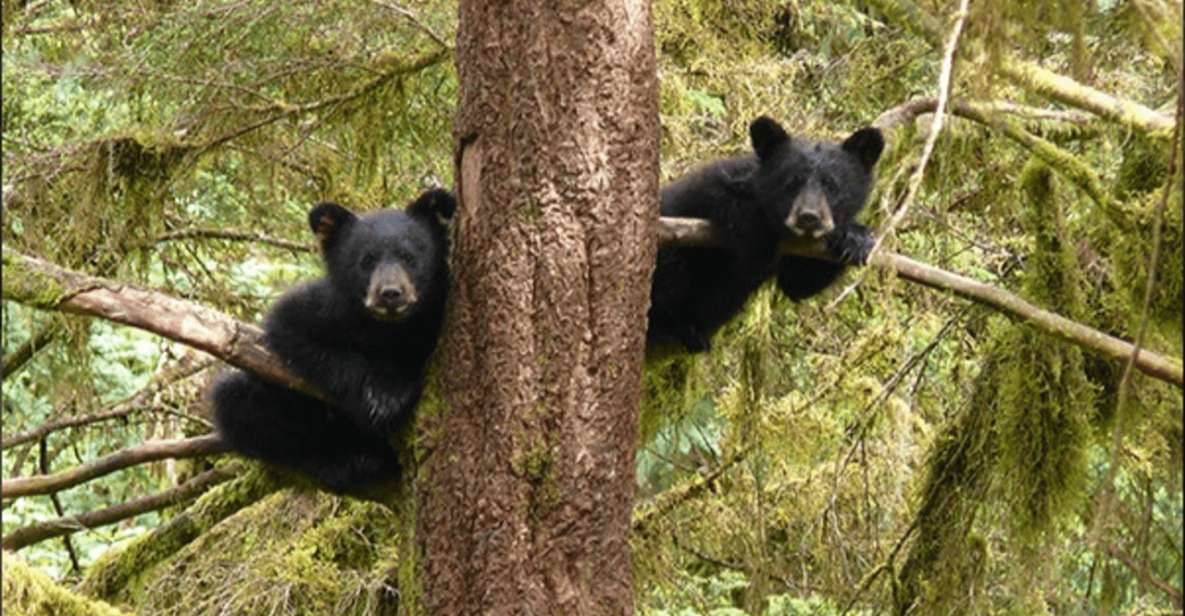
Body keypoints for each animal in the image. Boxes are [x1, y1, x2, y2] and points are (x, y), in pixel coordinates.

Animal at [209, 188, 455, 495]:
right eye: (366, 260)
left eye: (409, 257)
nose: (390, 293)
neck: (384, 327)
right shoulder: (324, 309)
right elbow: (291, 332)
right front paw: (372, 396)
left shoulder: (436, 314)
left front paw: (390, 393)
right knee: (236, 400)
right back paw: (342, 461)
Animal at [647, 116, 884, 353]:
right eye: (791, 183)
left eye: (832, 186)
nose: (809, 217)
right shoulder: (706, 190)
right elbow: (721, 197)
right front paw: (760, 240)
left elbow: (798, 283)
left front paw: (855, 238)